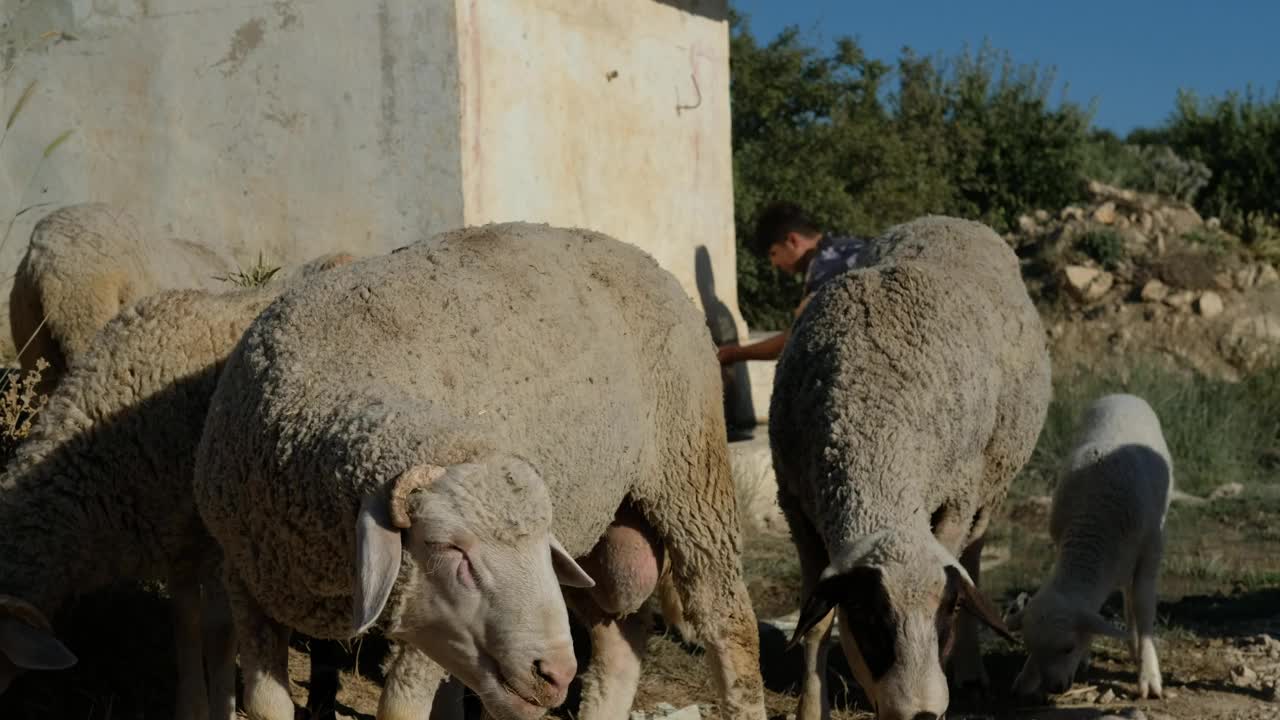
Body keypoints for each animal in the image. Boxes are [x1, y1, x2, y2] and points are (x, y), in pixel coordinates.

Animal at [0, 252, 355, 717]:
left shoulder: (221, 541)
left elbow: (219, 633)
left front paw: (223, 707)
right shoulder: (175, 535)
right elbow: (184, 622)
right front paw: (192, 706)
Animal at [192, 221, 768, 717]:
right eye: (451, 550)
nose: (553, 673)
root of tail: (632, 250)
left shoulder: (424, 619)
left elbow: (400, 710)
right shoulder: (246, 582)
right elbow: (265, 705)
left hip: (689, 473)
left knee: (727, 621)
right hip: (599, 529)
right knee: (618, 639)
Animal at [768, 213, 1049, 717]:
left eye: (947, 612)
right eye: (868, 616)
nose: (921, 712)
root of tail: (948, 219)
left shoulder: (956, 500)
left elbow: (960, 569)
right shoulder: (797, 506)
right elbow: (815, 622)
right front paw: (811, 708)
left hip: (988, 487)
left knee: (973, 559)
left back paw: (972, 670)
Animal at [1003, 389, 1172, 696]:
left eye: (1068, 648)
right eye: (1031, 649)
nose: (1055, 688)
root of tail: (1123, 394)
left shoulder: (1151, 551)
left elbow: (1143, 606)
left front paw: (1149, 675)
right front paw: (1028, 676)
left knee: (1131, 596)